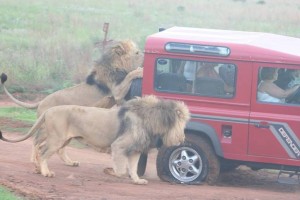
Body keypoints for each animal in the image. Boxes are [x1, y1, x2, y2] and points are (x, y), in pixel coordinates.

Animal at [0, 39, 144, 167]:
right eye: (137, 52)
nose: (143, 56)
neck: (116, 64)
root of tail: (41, 101)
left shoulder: (118, 97)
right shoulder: (116, 92)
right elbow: (129, 75)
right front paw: (139, 71)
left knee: (59, 148)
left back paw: (69, 162)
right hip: (45, 128)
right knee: (36, 142)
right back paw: (35, 161)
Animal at [0, 95, 191, 184]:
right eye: (181, 123)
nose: (182, 138)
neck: (150, 120)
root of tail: (48, 110)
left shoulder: (135, 149)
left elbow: (133, 168)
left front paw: (137, 181)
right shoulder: (119, 146)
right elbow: (121, 170)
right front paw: (110, 171)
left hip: (62, 139)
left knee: (43, 149)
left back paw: (39, 169)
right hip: (56, 139)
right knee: (42, 151)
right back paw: (45, 172)